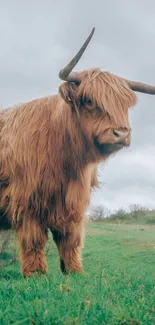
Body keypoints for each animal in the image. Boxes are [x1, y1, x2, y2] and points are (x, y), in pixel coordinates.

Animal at [0, 28, 155, 276]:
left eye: (125, 105)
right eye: (89, 100)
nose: (121, 134)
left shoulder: (74, 203)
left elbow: (70, 240)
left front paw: (75, 271)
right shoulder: (27, 199)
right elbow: (34, 240)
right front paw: (36, 274)